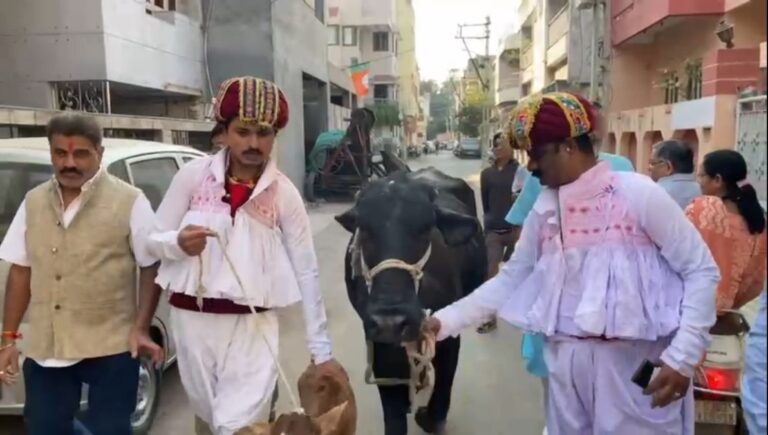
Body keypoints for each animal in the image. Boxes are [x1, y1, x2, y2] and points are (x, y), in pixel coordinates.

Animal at [334, 169, 486, 434]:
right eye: (364, 229)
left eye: (426, 228)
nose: (391, 322)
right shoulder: (379, 344)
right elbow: (393, 413)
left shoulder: (448, 337)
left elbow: (442, 392)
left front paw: (429, 416)